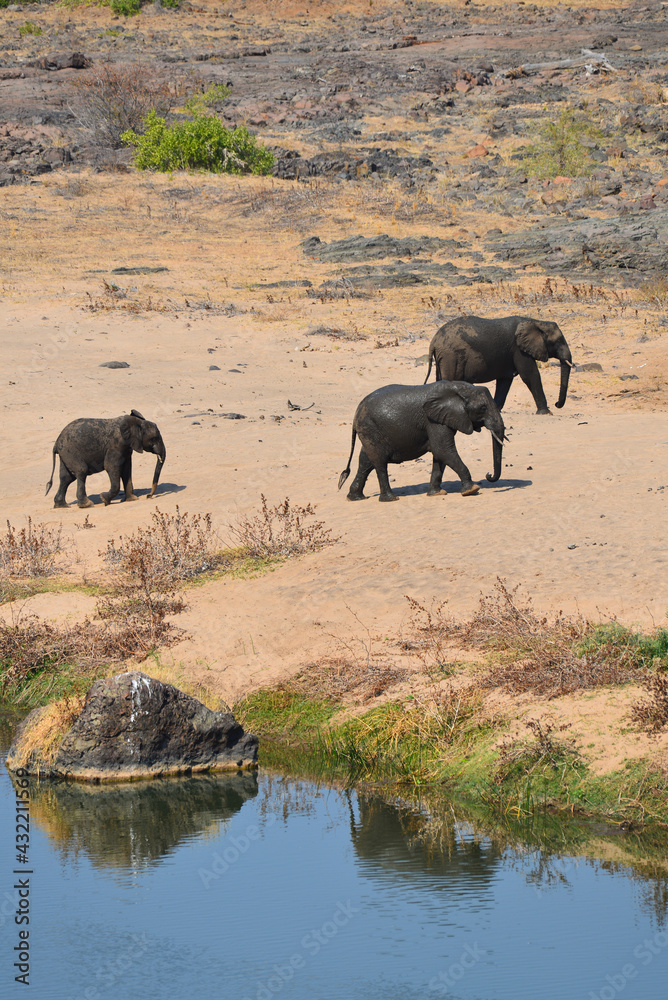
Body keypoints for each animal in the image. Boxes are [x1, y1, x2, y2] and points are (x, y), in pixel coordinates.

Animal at [338, 381, 505, 503]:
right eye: (483, 408)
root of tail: (356, 413)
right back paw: (391, 499)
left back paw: (355, 498)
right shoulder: (433, 421)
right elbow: (443, 450)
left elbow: (440, 455)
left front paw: (437, 494)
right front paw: (472, 490)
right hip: (371, 428)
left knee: (365, 461)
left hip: (368, 431)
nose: (488, 475)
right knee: (379, 462)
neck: (461, 388)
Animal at [424, 314, 574, 414]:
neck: (536, 322)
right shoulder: (518, 349)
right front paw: (546, 413)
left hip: (444, 358)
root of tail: (434, 341)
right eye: (558, 341)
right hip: (452, 356)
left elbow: (505, 381)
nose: (556, 404)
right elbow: (530, 375)